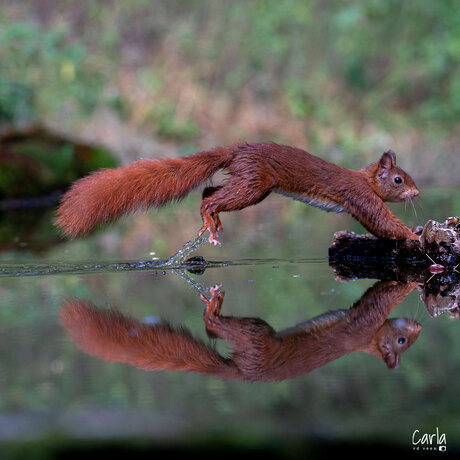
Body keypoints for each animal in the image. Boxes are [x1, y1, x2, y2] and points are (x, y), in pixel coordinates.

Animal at [54, 143, 420, 244]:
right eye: (399, 179)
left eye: (409, 177)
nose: (418, 192)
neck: (364, 179)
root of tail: (238, 150)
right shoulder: (360, 197)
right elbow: (381, 221)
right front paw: (414, 235)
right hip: (254, 186)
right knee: (212, 197)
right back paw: (211, 225)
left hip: (248, 184)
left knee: (208, 190)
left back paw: (213, 223)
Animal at [60, 280, 420, 380]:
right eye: (403, 340)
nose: (419, 324)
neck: (366, 342)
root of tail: (241, 371)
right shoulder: (359, 328)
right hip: (256, 332)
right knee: (217, 325)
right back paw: (213, 306)